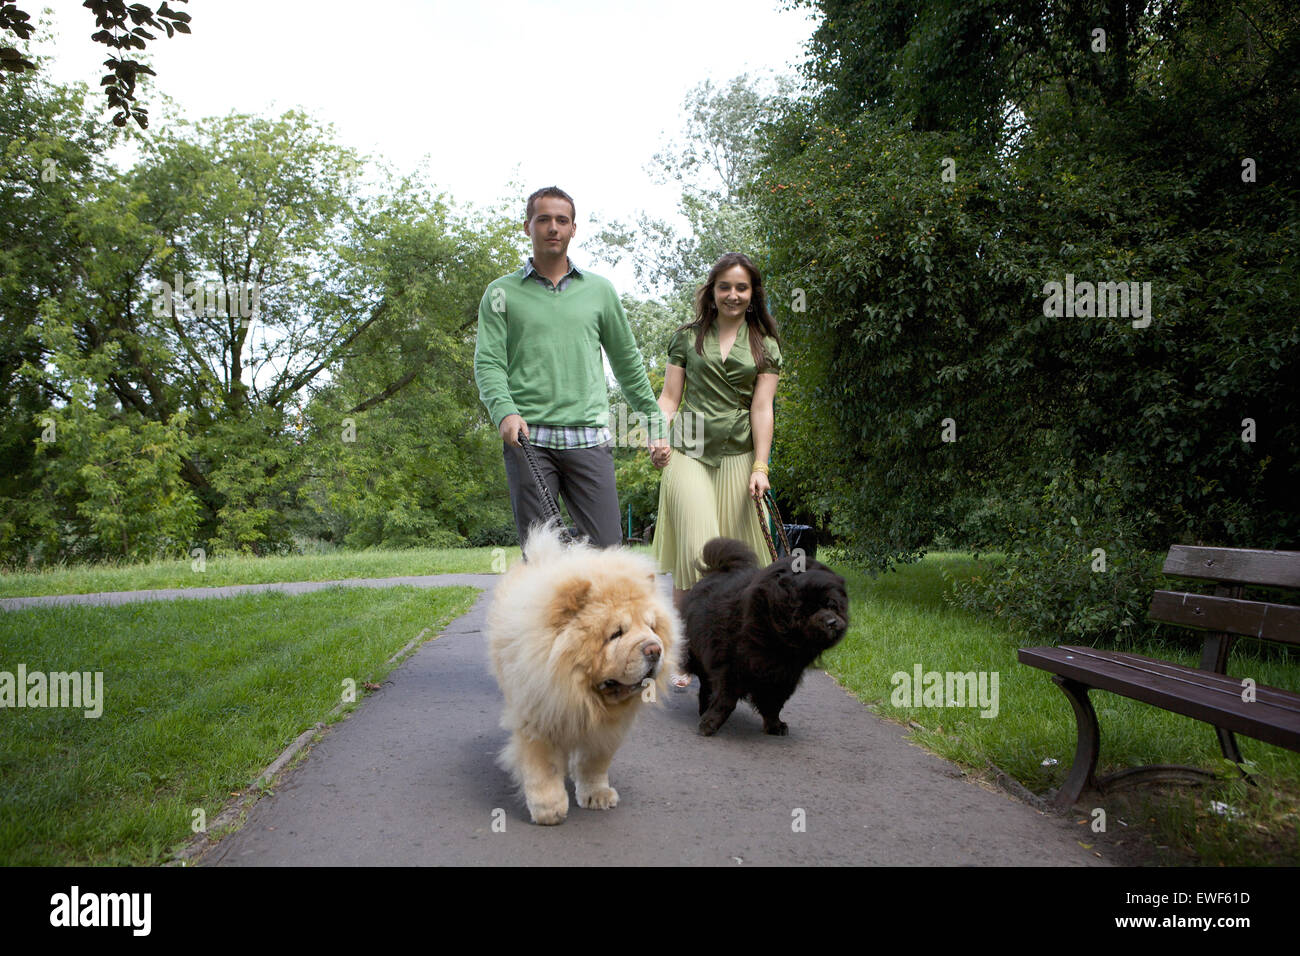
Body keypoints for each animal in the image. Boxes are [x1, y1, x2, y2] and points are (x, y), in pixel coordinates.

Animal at [488, 522, 681, 822]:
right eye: (616, 633)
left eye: (652, 627)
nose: (654, 649)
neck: (583, 692)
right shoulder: (538, 716)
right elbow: (542, 767)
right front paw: (549, 808)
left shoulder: (606, 731)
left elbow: (594, 763)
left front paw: (596, 795)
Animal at [681, 538, 852, 738]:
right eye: (807, 611)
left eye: (831, 605)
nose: (831, 621)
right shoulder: (731, 666)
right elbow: (725, 699)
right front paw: (709, 724)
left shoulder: (783, 676)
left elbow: (773, 705)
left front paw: (775, 726)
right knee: (705, 684)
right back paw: (703, 709)